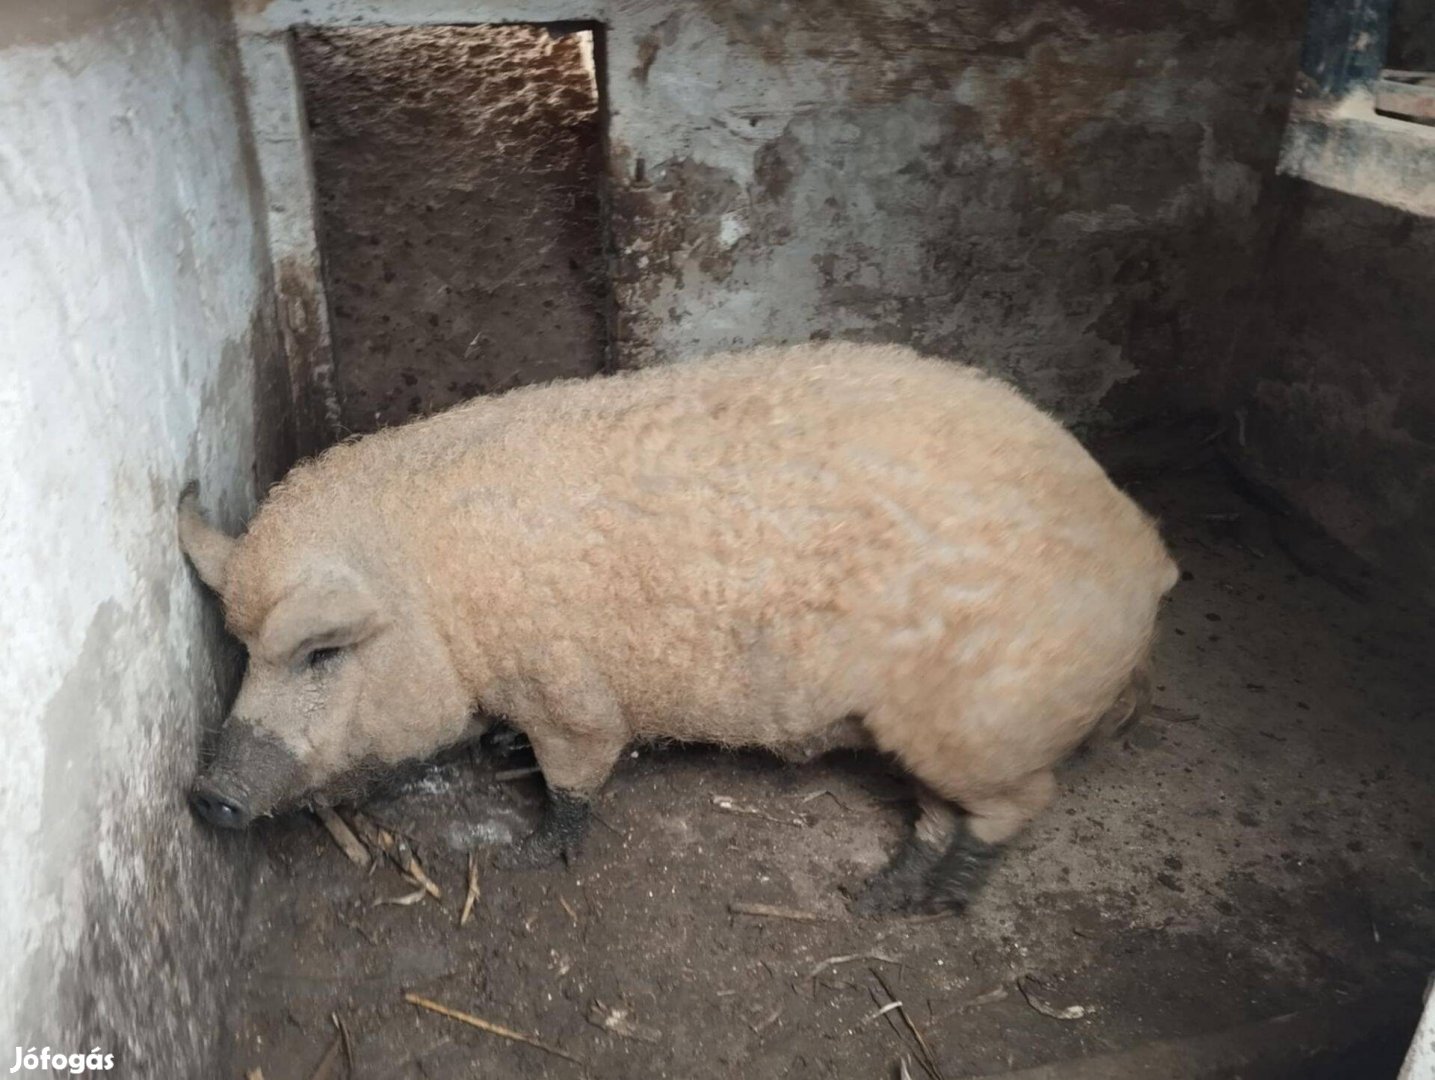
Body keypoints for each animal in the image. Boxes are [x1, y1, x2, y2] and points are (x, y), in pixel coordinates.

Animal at [179, 342, 1176, 912]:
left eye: (320, 653)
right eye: (241, 649)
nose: (207, 795)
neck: (439, 596)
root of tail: (1143, 551)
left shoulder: (564, 686)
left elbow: (578, 773)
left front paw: (530, 856)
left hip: (982, 722)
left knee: (1017, 805)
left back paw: (932, 907)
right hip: (923, 732)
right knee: (940, 812)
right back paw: (871, 898)